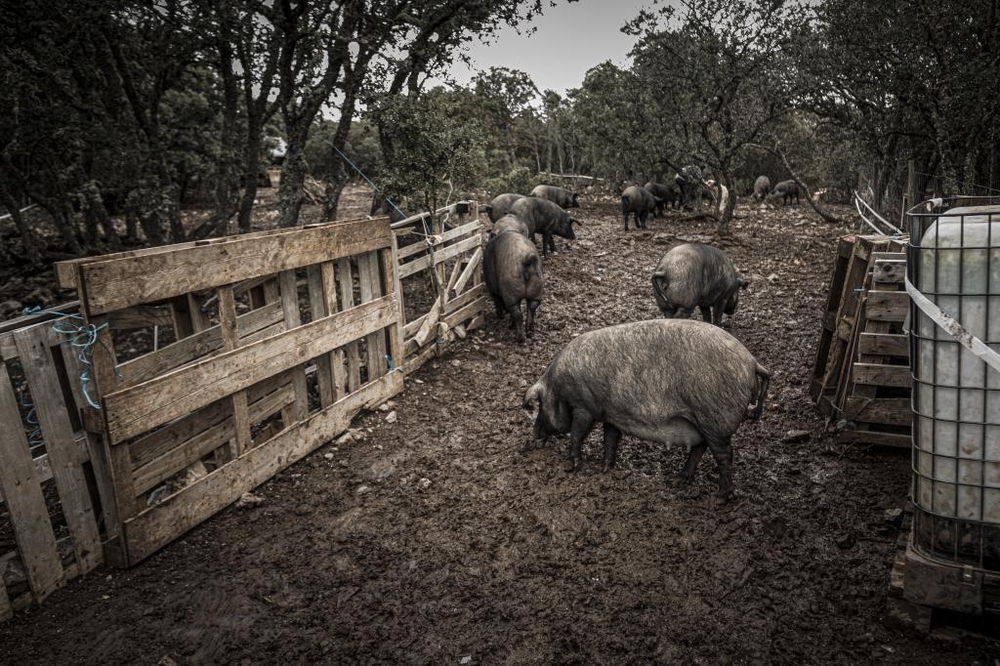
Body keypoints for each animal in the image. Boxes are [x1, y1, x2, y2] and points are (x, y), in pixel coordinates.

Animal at [520, 320, 768, 500]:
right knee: (701, 448)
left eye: (539, 404)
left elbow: (577, 434)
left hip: (714, 417)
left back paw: (720, 498)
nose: (533, 437)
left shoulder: (584, 406)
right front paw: (605, 469)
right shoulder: (612, 414)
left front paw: (573, 467)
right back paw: (678, 480)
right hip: (703, 422)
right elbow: (610, 439)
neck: (557, 385)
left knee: (725, 455)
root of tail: (752, 362)